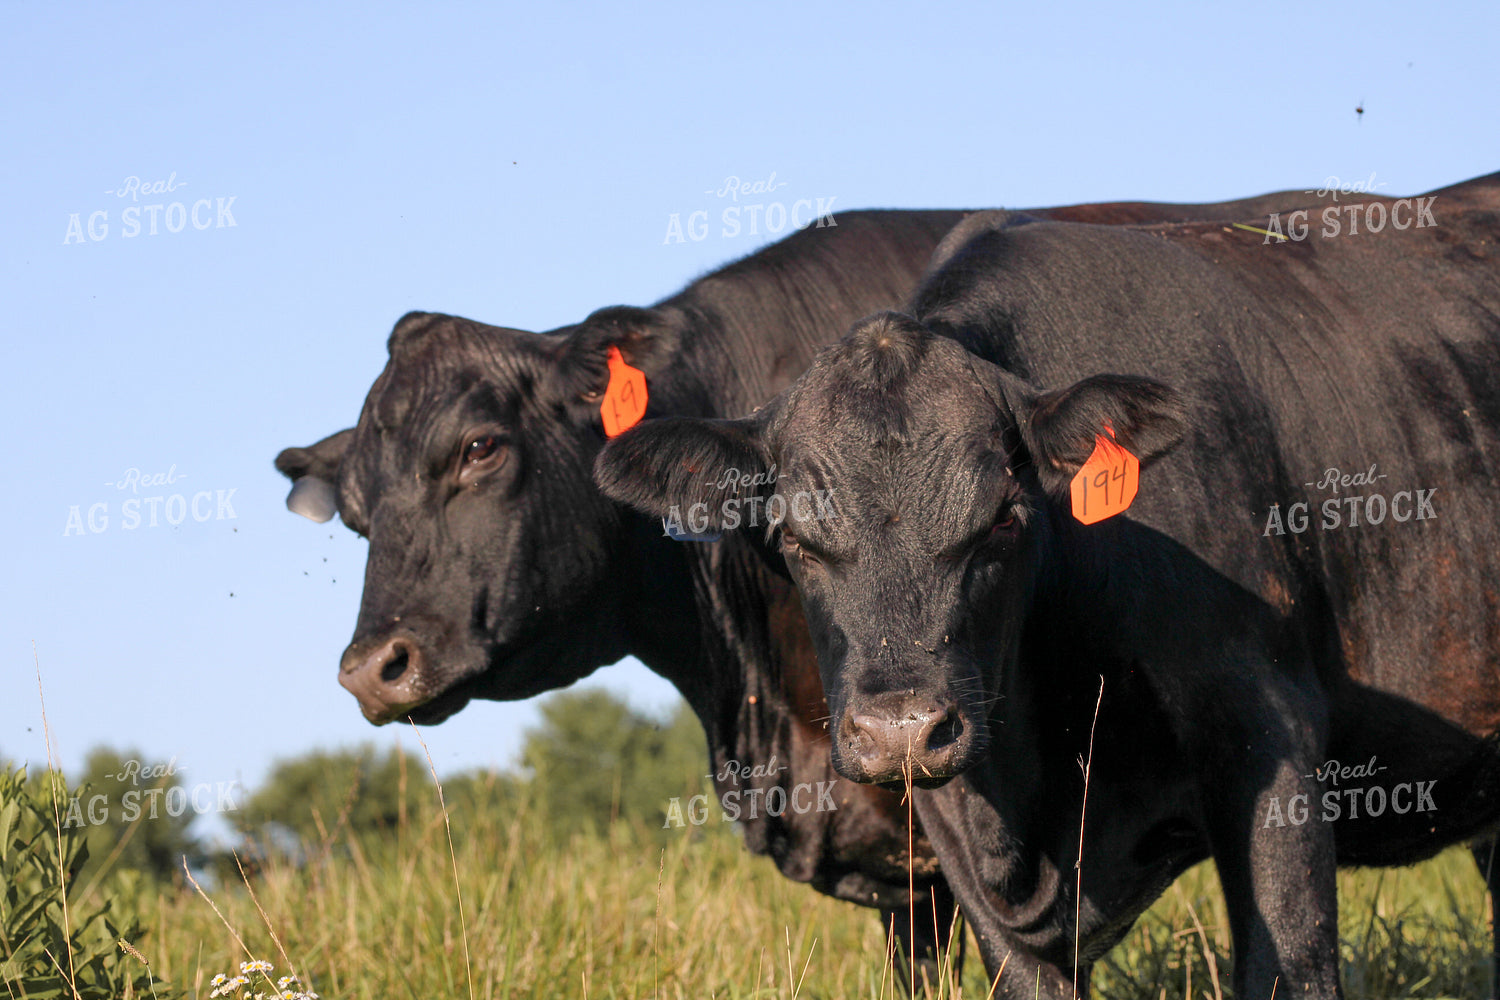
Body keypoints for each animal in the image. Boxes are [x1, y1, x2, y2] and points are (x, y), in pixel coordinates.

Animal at [593, 172, 1500, 997]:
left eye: (1003, 517)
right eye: (791, 537)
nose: (900, 731)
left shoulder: (1269, 727)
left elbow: (1289, 964)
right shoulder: (955, 831)